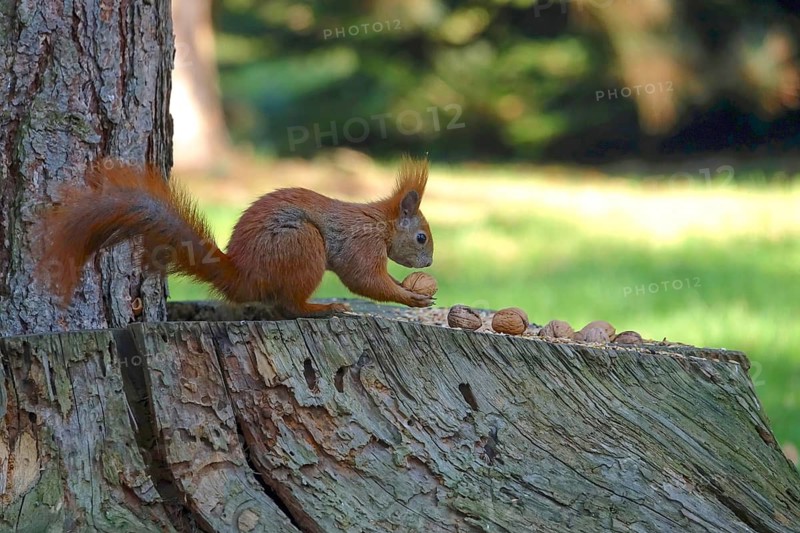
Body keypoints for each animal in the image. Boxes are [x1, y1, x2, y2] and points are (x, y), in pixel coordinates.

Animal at [38, 156, 434, 318]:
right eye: (421, 238)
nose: (430, 262)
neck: (380, 223)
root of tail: (243, 277)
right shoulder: (361, 243)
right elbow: (363, 279)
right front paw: (411, 295)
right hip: (301, 245)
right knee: (288, 306)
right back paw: (323, 309)